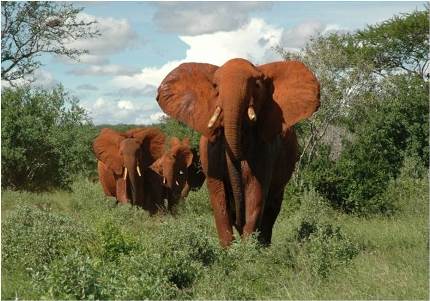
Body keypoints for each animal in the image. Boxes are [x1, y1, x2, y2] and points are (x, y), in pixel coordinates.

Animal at [157, 58, 320, 246]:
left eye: (257, 85)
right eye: (215, 86)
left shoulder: (265, 149)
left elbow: (255, 193)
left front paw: (247, 250)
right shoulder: (210, 150)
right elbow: (218, 197)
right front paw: (229, 249)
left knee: (272, 207)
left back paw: (263, 244)